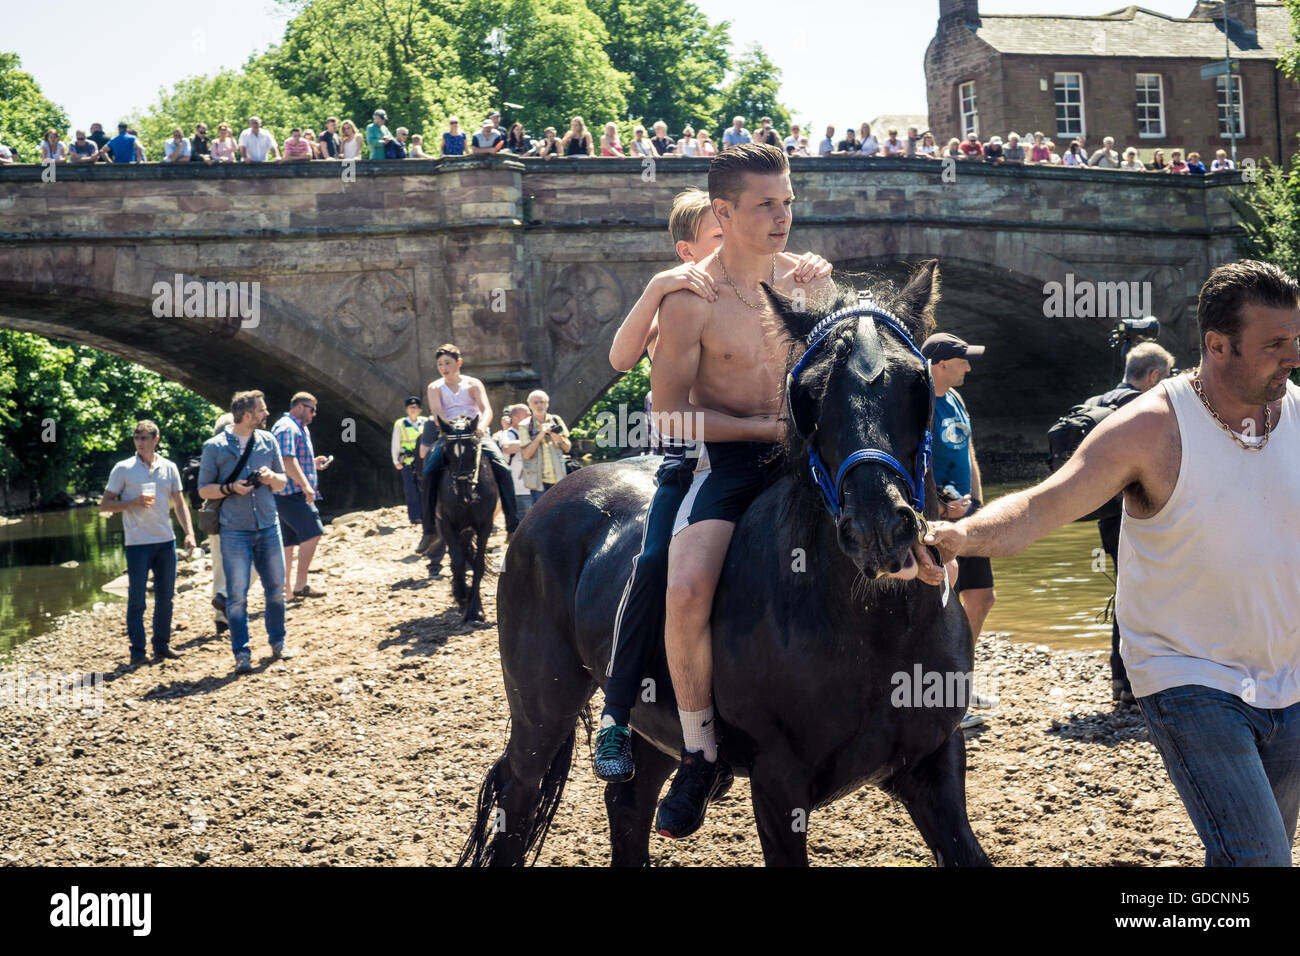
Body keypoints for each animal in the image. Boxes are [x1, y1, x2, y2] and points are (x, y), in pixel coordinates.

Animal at [436, 416, 496, 624]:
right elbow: (457, 563)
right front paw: (461, 595)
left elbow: (478, 565)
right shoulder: (448, 524)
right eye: (447, 452)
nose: (464, 495)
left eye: (473, 449)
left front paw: (475, 609)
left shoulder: (485, 525)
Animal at [457, 261, 982, 868]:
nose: (877, 524)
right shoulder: (778, 784)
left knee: (629, 805)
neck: (875, 629)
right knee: (516, 808)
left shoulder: (936, 765)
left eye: (917, 383)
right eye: (808, 392)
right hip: (541, 716)